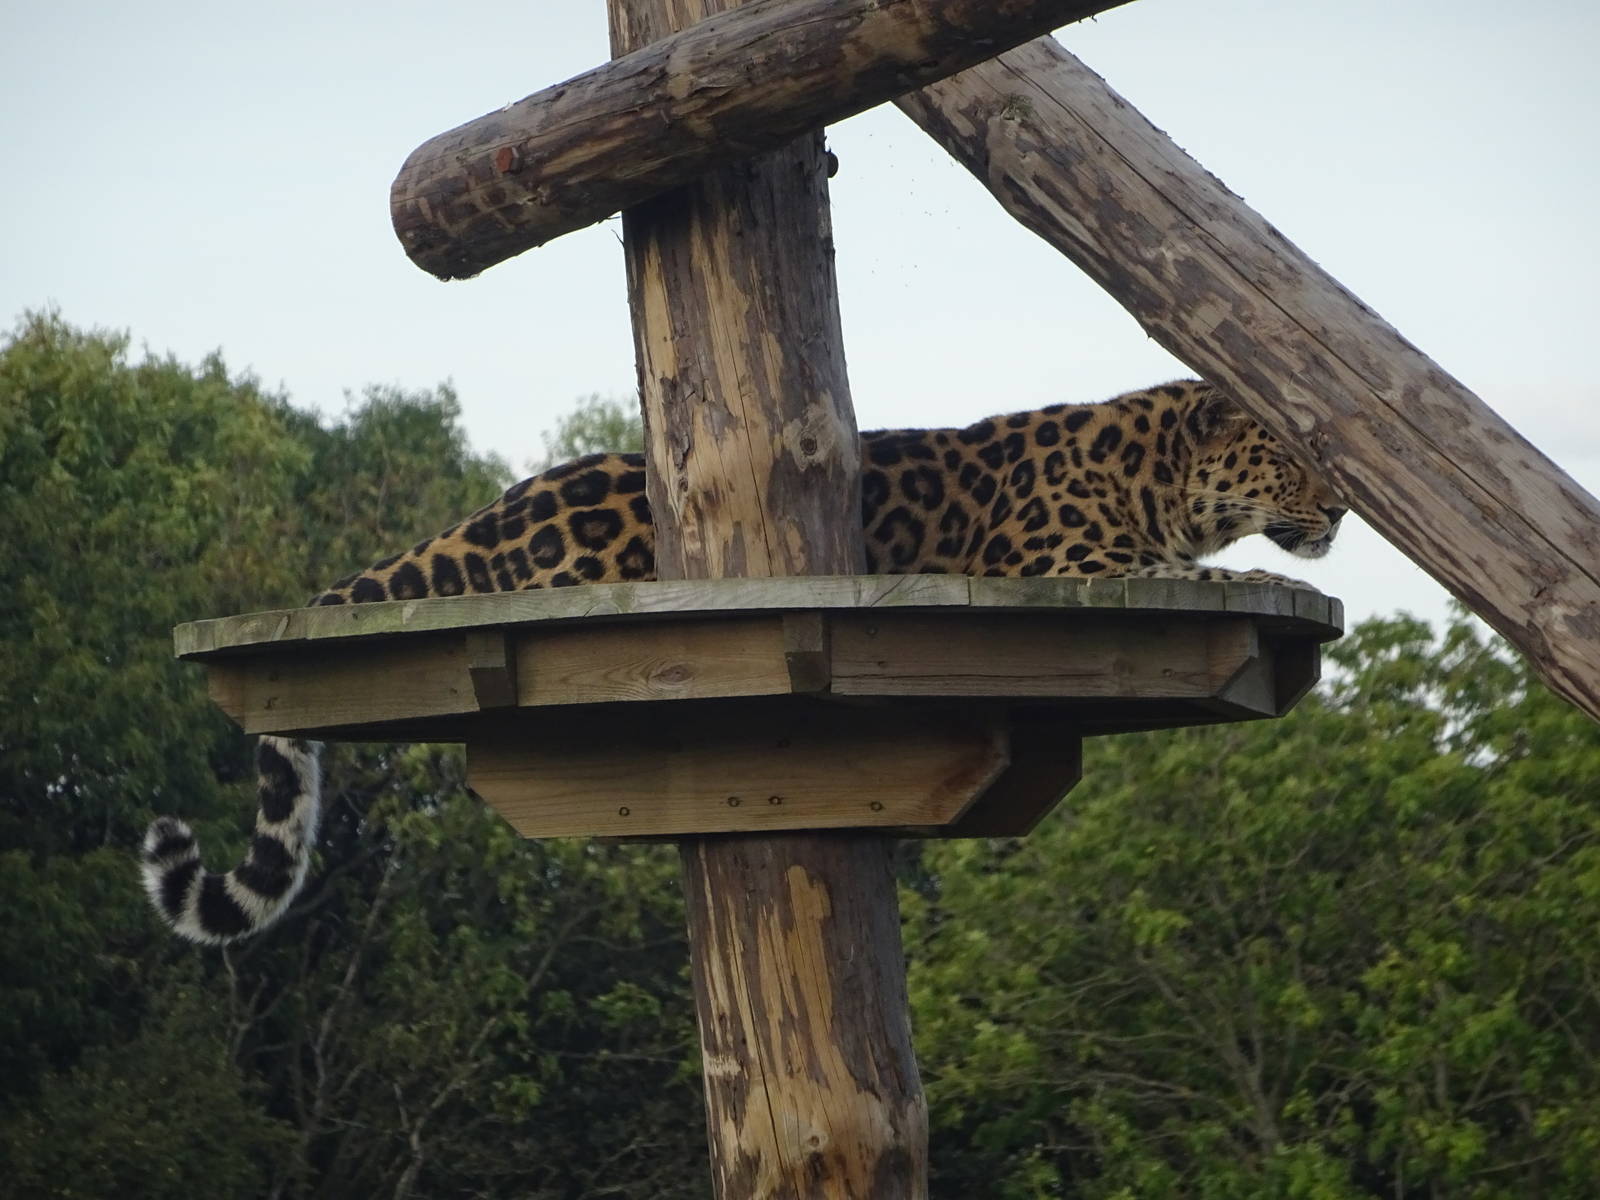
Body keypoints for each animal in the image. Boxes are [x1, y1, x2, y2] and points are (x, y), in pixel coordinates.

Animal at [141, 379, 1345, 943]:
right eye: (1286, 458)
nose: (1337, 507)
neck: (1155, 473)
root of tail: (487, 513)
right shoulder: (1056, 557)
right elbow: (1181, 569)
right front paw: (1258, 577)